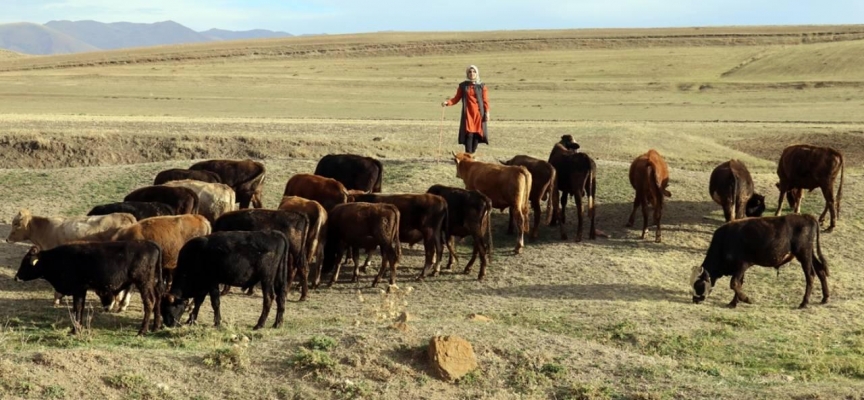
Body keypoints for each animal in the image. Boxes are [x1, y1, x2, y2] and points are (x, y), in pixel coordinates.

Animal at [14, 241, 163, 334]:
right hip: (152, 283)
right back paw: (155, 327)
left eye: (25, 262)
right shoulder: (82, 290)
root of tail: (150, 244)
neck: (57, 259)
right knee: (157, 299)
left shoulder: (78, 289)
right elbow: (80, 308)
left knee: (149, 302)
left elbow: (77, 308)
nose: (16, 277)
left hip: (143, 282)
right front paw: (78, 328)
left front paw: (75, 330)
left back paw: (142, 331)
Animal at [164, 230, 292, 330]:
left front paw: (217, 322)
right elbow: (198, 301)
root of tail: (275, 233)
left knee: (269, 298)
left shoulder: (212, 282)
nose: (167, 324)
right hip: (278, 279)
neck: (195, 255)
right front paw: (191, 320)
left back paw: (259, 325)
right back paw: (277, 324)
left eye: (169, 309)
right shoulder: (204, 286)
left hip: (266, 279)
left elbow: (215, 302)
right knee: (280, 297)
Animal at [688, 214, 832, 308]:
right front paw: (733, 303)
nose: (695, 300)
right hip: (808, 254)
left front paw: (747, 299)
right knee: (820, 270)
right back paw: (825, 298)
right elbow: (739, 283)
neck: (725, 241)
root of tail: (808, 217)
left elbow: (734, 283)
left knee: (810, 275)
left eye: (698, 284)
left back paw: (804, 303)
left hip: (803, 254)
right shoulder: (740, 269)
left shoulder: (742, 265)